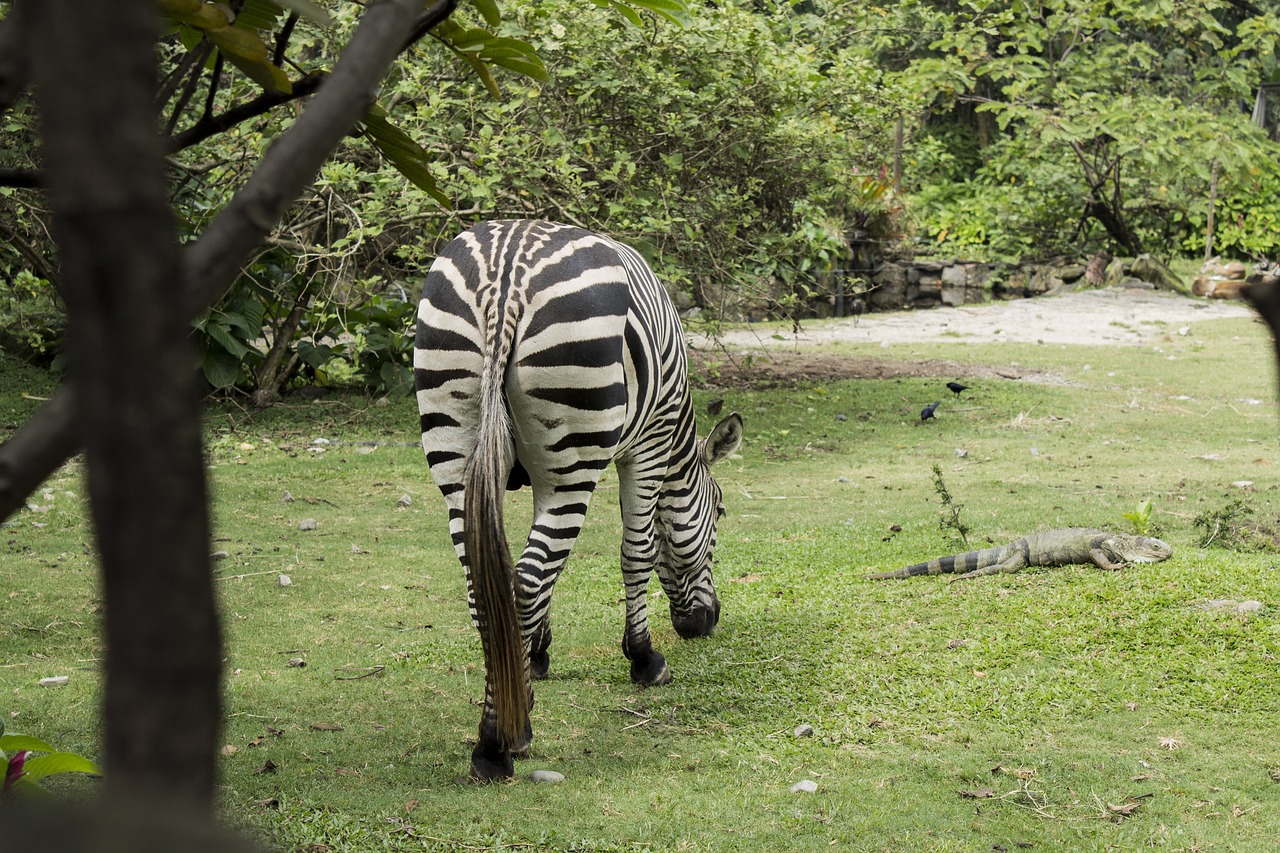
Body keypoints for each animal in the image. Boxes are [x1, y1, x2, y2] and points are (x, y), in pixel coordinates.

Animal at [414, 217, 747, 778]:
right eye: (720, 511)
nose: (705, 623)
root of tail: (507, 274)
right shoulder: (649, 444)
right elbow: (636, 553)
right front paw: (644, 659)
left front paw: (535, 655)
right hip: (574, 451)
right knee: (526, 579)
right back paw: (500, 741)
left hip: (455, 445)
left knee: (490, 584)